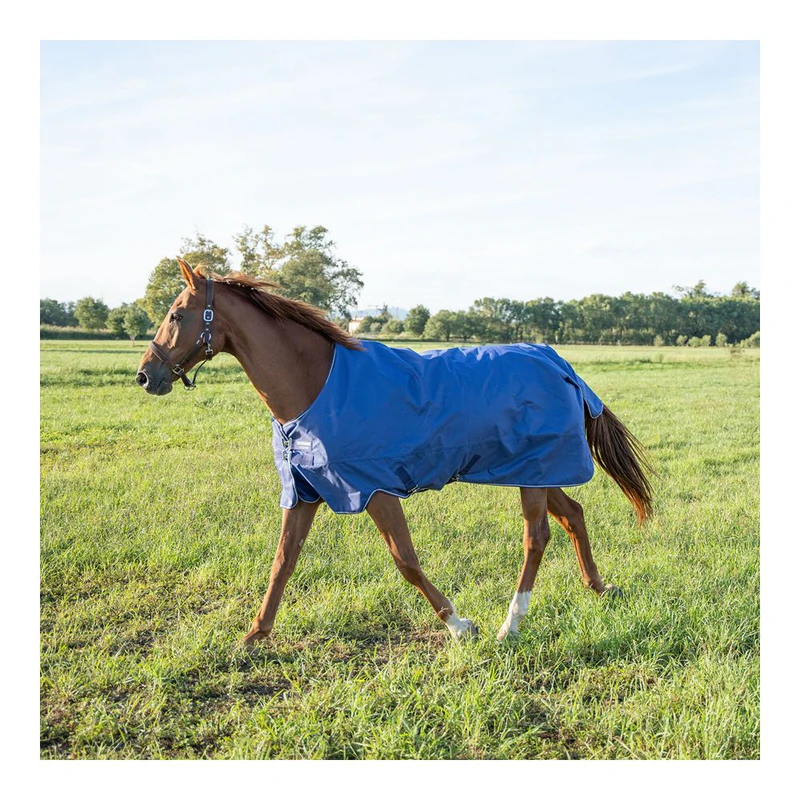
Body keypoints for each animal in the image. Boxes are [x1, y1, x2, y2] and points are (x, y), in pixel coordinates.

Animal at [136, 259, 653, 648]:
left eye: (177, 314)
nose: (145, 375)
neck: (315, 384)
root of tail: (556, 360)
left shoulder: (374, 490)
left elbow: (405, 561)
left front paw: (460, 625)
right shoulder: (305, 491)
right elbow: (283, 561)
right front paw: (254, 635)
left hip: (533, 474)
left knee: (537, 537)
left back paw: (510, 624)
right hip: (538, 472)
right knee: (574, 515)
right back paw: (598, 588)